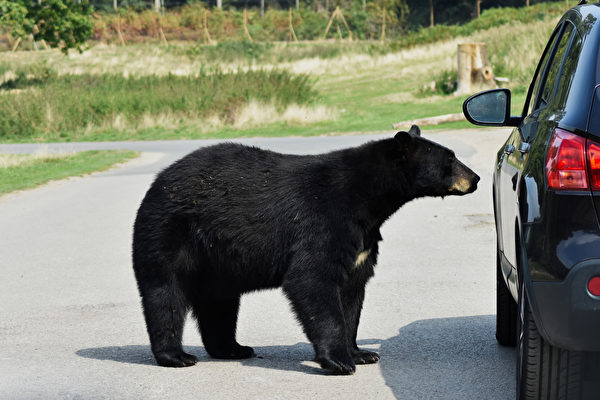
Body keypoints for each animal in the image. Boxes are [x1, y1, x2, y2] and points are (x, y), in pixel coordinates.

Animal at [134, 125, 480, 376]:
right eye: (450, 159)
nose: (475, 178)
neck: (368, 200)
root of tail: (158, 181)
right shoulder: (323, 222)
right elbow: (312, 280)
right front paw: (340, 361)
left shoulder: (362, 240)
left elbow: (351, 292)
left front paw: (361, 352)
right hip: (169, 231)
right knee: (164, 293)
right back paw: (176, 355)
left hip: (218, 262)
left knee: (220, 303)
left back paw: (232, 348)